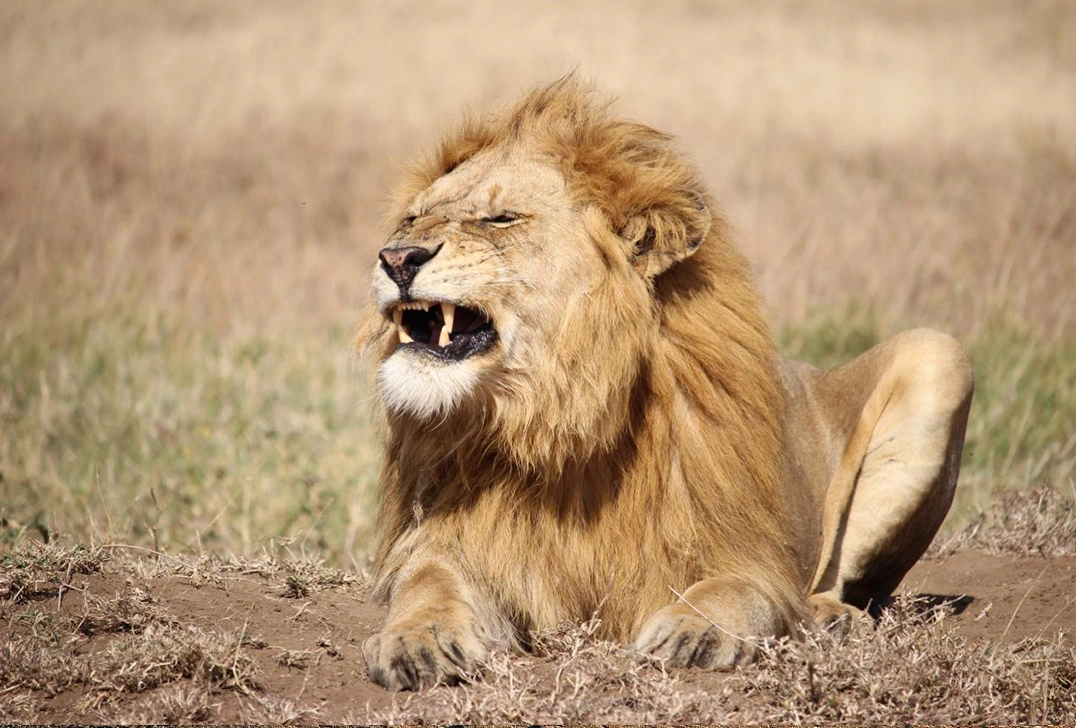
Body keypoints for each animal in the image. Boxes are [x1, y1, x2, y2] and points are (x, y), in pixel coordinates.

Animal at [357, 76, 972, 688]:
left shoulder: (744, 548)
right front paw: (417, 639)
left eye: (501, 218)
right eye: (411, 220)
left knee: (849, 585)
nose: (395, 257)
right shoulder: (460, 545)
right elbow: (427, 581)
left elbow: (739, 588)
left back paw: (827, 617)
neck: (560, 421)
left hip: (939, 355)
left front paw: (695, 630)